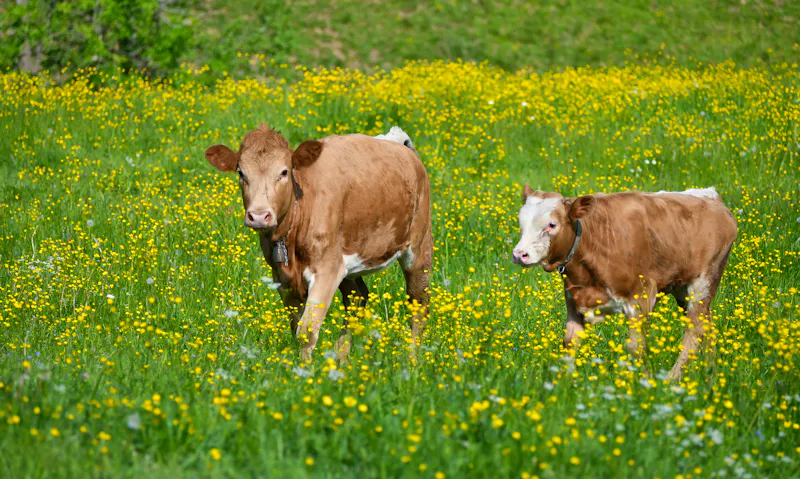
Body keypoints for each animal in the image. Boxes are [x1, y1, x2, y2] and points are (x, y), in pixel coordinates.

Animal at [204, 125, 432, 362]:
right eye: (241, 173)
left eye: (284, 172)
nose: (258, 216)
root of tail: (394, 140)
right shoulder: (282, 276)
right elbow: (295, 327)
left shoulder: (327, 268)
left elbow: (306, 331)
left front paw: (305, 370)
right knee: (357, 297)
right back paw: (340, 359)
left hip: (419, 244)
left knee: (418, 302)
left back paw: (412, 360)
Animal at [512, 185, 737, 379]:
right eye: (521, 222)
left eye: (551, 225)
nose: (519, 254)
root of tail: (711, 196)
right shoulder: (573, 299)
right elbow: (570, 341)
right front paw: (564, 383)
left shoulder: (641, 297)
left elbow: (636, 348)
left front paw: (643, 384)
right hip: (683, 288)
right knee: (706, 327)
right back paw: (710, 373)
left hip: (703, 283)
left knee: (694, 330)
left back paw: (672, 379)